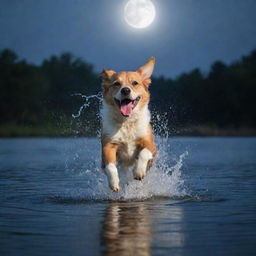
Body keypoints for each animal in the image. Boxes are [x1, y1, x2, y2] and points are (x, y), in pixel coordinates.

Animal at [100, 57, 156, 191]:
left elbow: (144, 153)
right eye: (116, 84)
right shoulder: (108, 145)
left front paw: (139, 171)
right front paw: (114, 183)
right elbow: (110, 166)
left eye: (135, 83)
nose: (125, 90)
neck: (127, 122)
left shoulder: (149, 143)